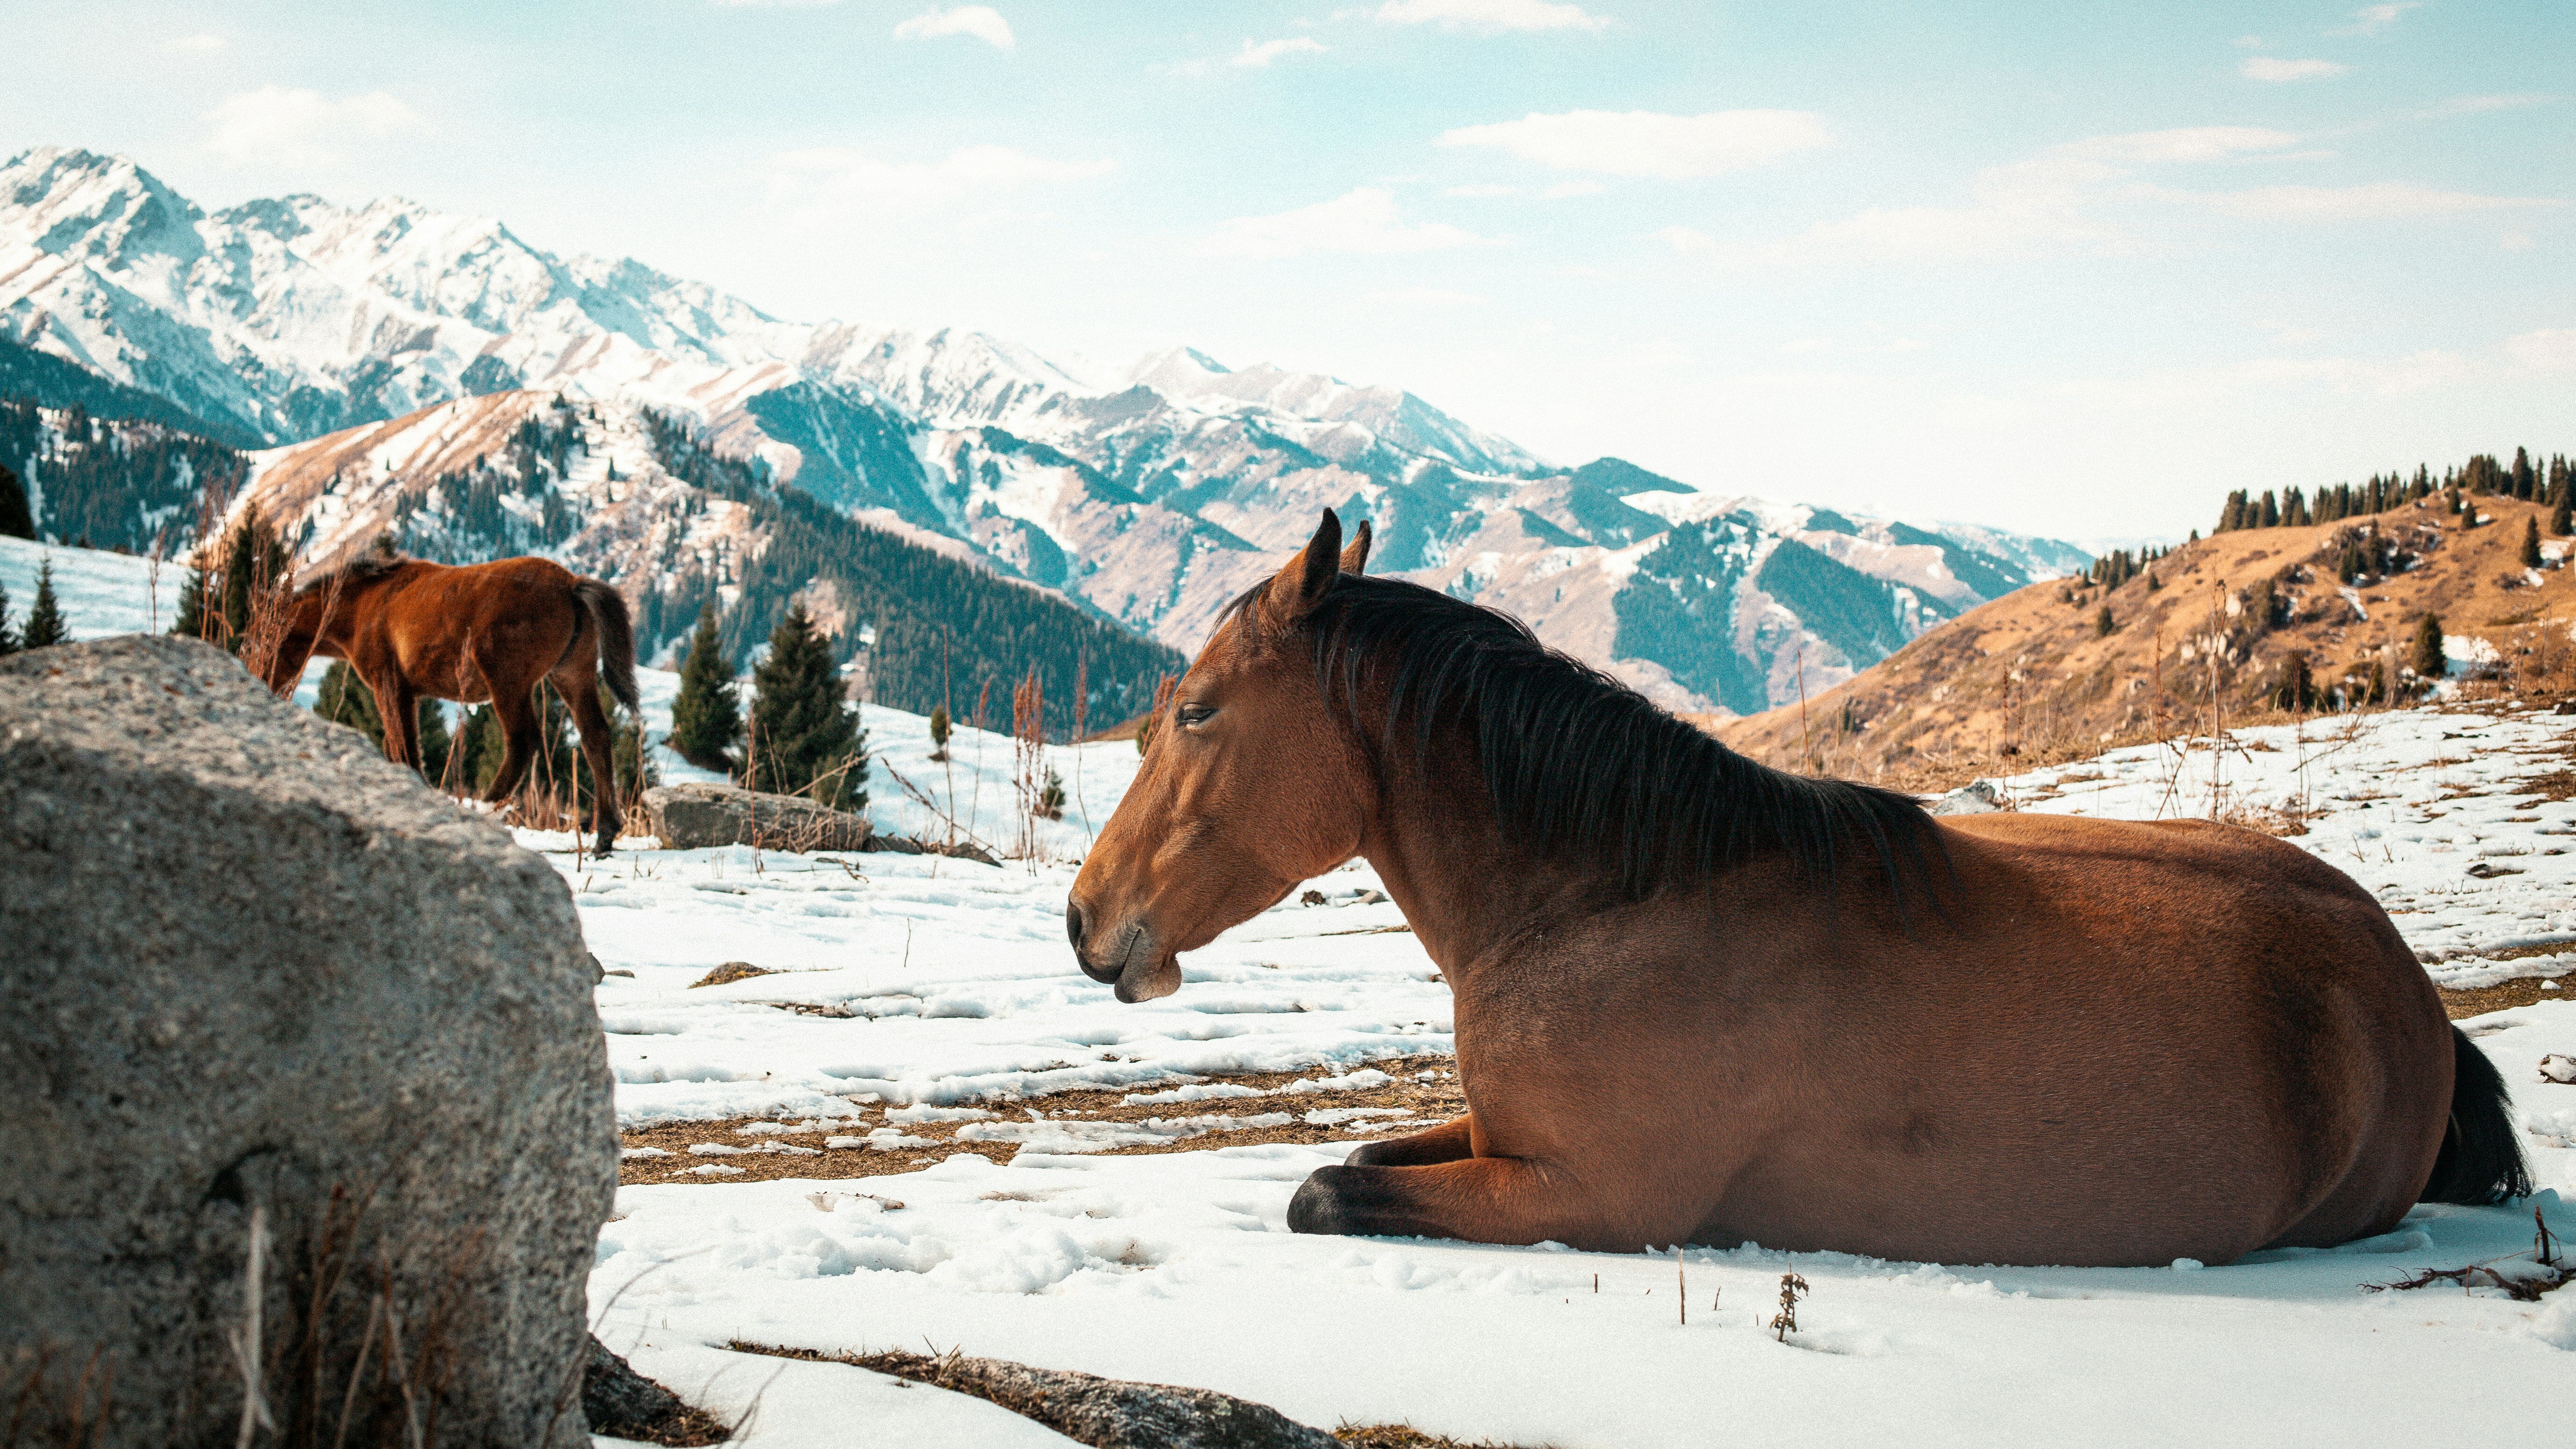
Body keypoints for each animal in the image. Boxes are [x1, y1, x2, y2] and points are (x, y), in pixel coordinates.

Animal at [260, 552, 642, 853]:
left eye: (272, 637)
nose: (261, 676)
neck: (366, 604)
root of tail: (571, 585)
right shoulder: (406, 693)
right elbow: (401, 747)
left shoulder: (389, 685)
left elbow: (404, 749)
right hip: (571, 675)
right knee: (595, 736)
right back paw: (605, 835)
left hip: (508, 682)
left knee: (523, 740)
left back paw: (487, 809)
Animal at [1065, 509, 2527, 1266]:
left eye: (1195, 710)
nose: (1085, 920)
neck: (1608, 905)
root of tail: (2400, 980)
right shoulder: (1498, 1141)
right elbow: (1364, 1154)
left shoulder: (1585, 1196)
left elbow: (1324, 1186)